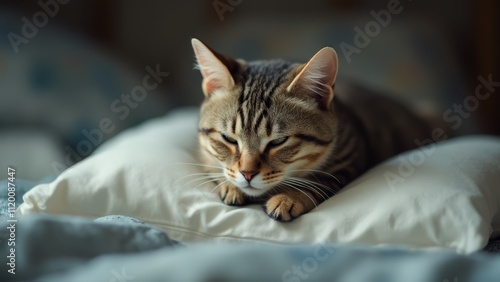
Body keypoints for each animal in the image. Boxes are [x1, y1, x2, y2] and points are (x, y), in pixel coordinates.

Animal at [191, 38, 430, 223]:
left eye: (278, 141)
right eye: (228, 138)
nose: (247, 174)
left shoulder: (349, 161)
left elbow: (318, 181)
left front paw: (289, 198)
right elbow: (213, 165)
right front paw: (230, 186)